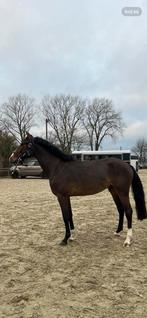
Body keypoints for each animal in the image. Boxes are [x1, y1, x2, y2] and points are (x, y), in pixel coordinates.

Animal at [9, 133, 147, 247]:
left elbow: (65, 216)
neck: (58, 167)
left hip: (122, 191)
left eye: (23, 143)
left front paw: (65, 239)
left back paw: (127, 240)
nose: (11, 158)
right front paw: (71, 236)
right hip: (113, 191)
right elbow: (70, 215)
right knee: (120, 209)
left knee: (128, 211)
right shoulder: (67, 196)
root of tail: (127, 165)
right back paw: (117, 232)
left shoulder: (61, 196)